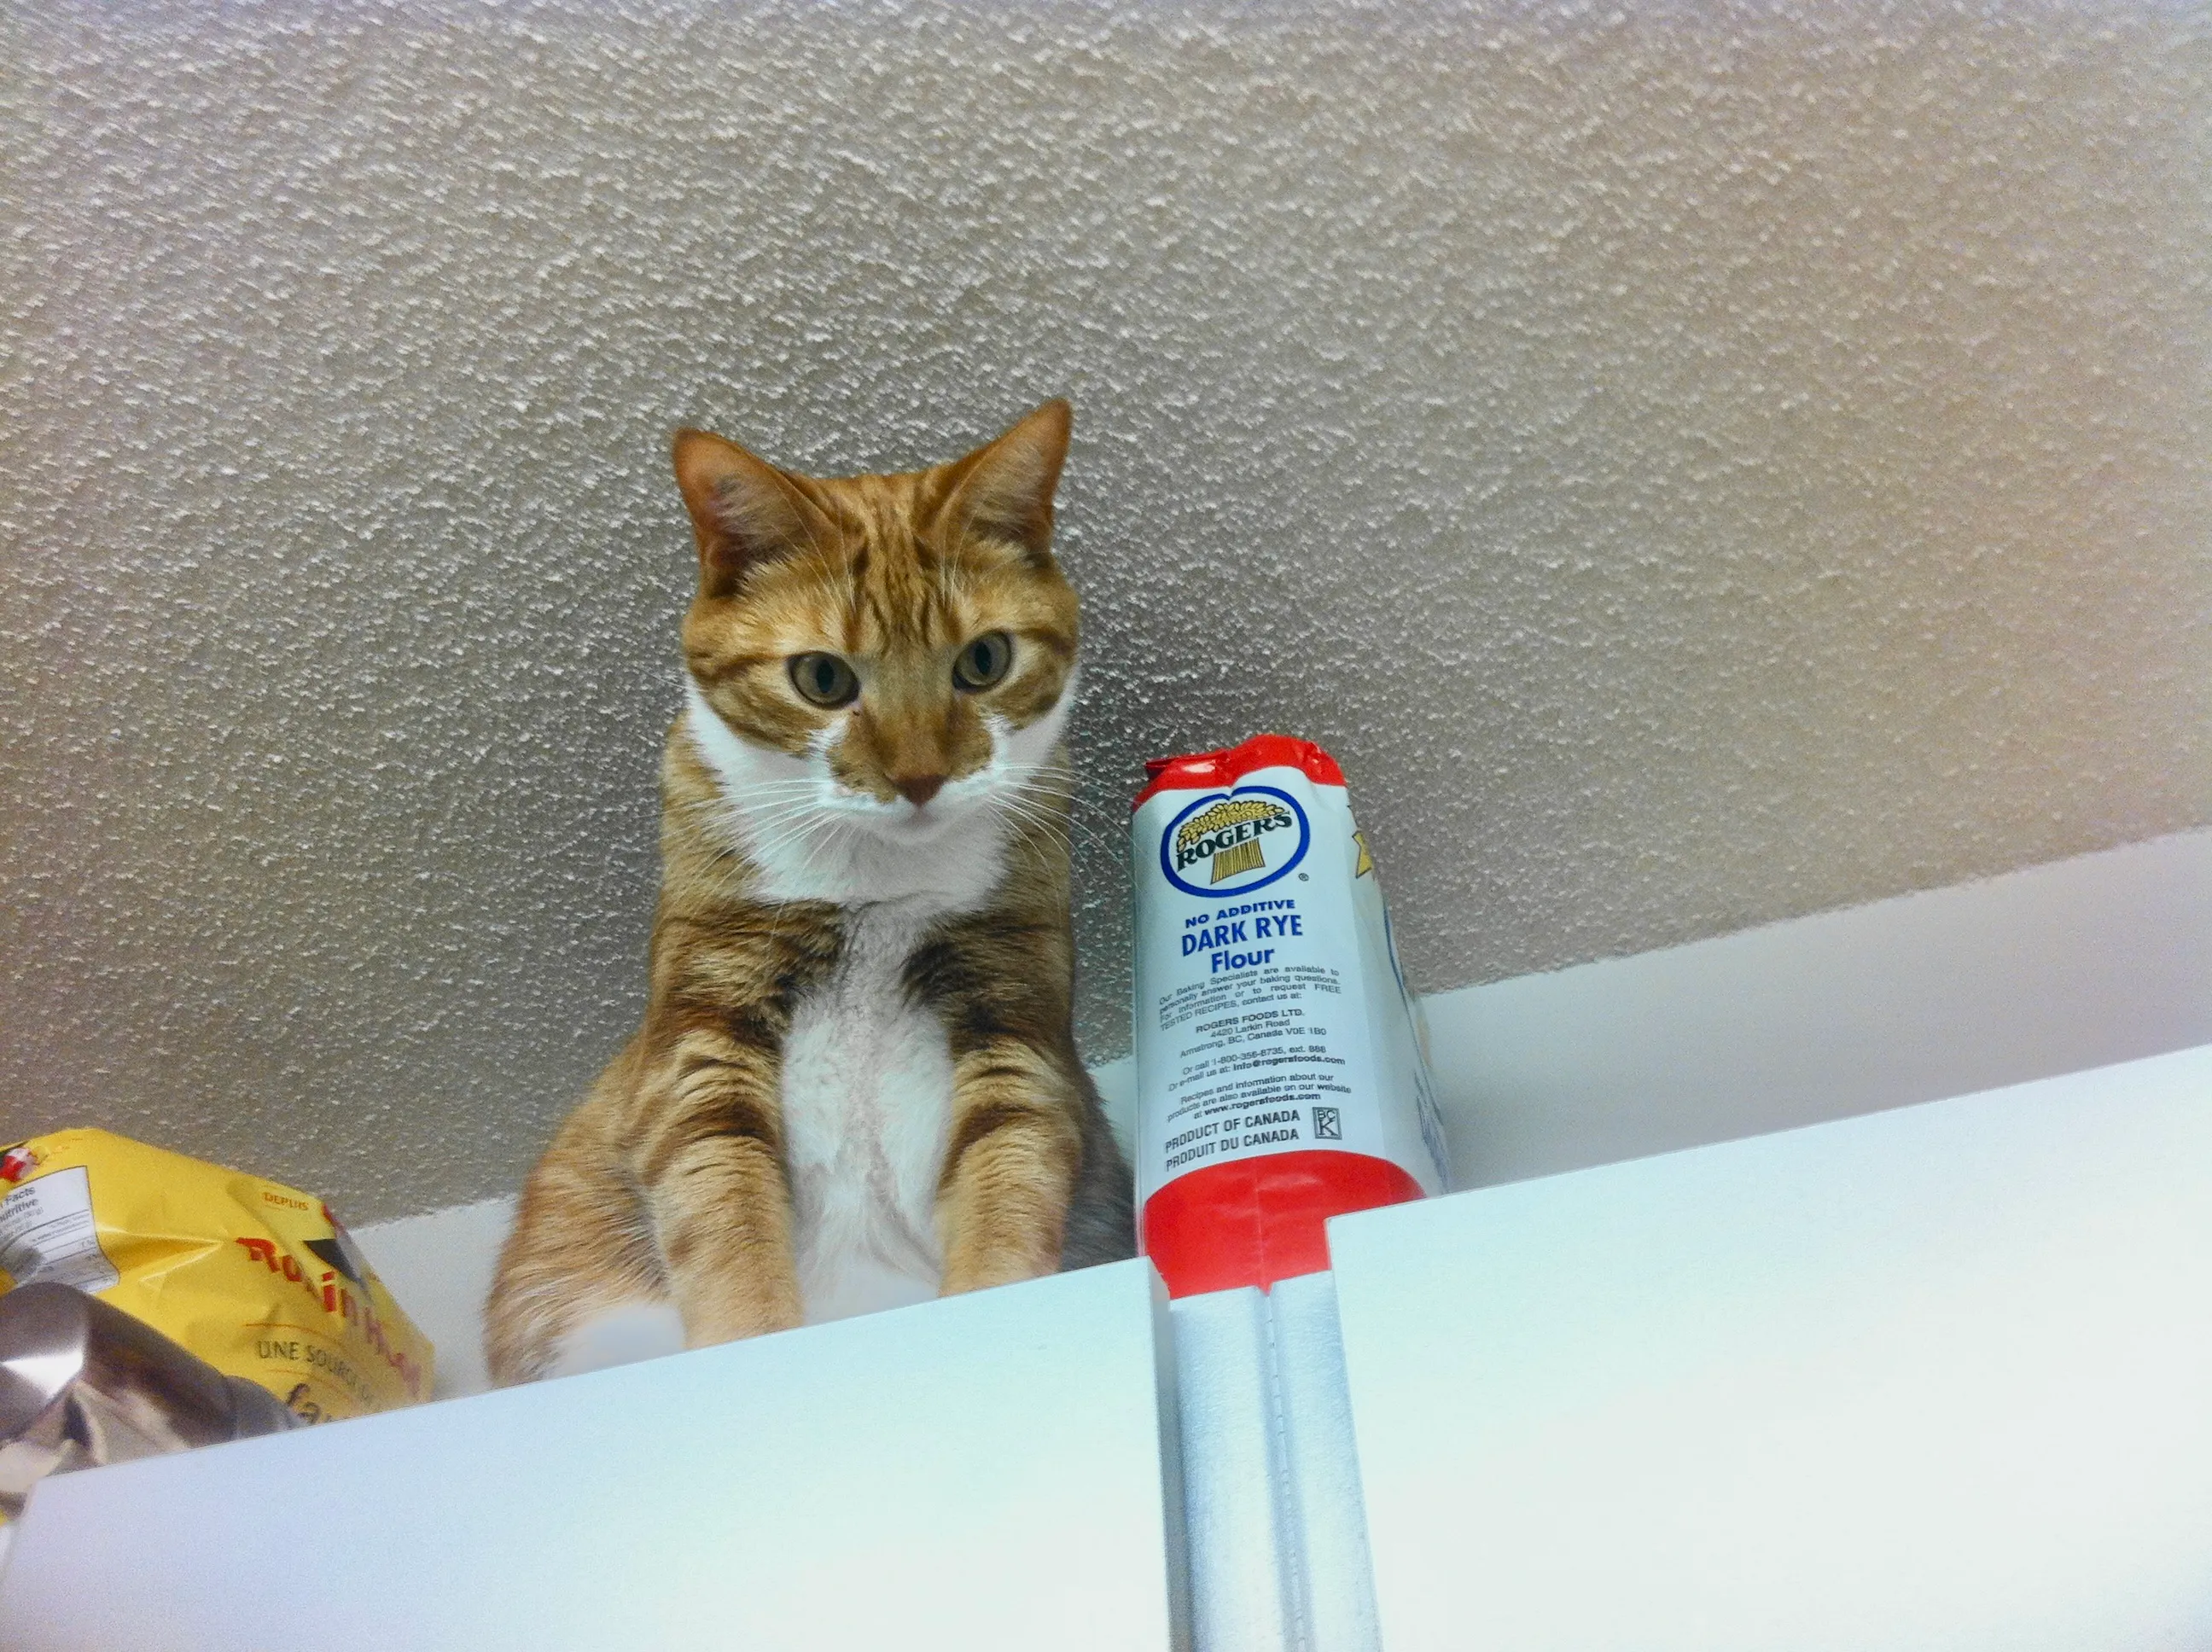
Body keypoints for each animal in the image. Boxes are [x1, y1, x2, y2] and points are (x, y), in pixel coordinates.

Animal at [491, 406, 1132, 1388]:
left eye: (984, 660)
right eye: (823, 678)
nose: (918, 776)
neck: (878, 887)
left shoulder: (1013, 1021)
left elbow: (1009, 1188)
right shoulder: (705, 1030)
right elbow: (722, 1215)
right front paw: (752, 1336)